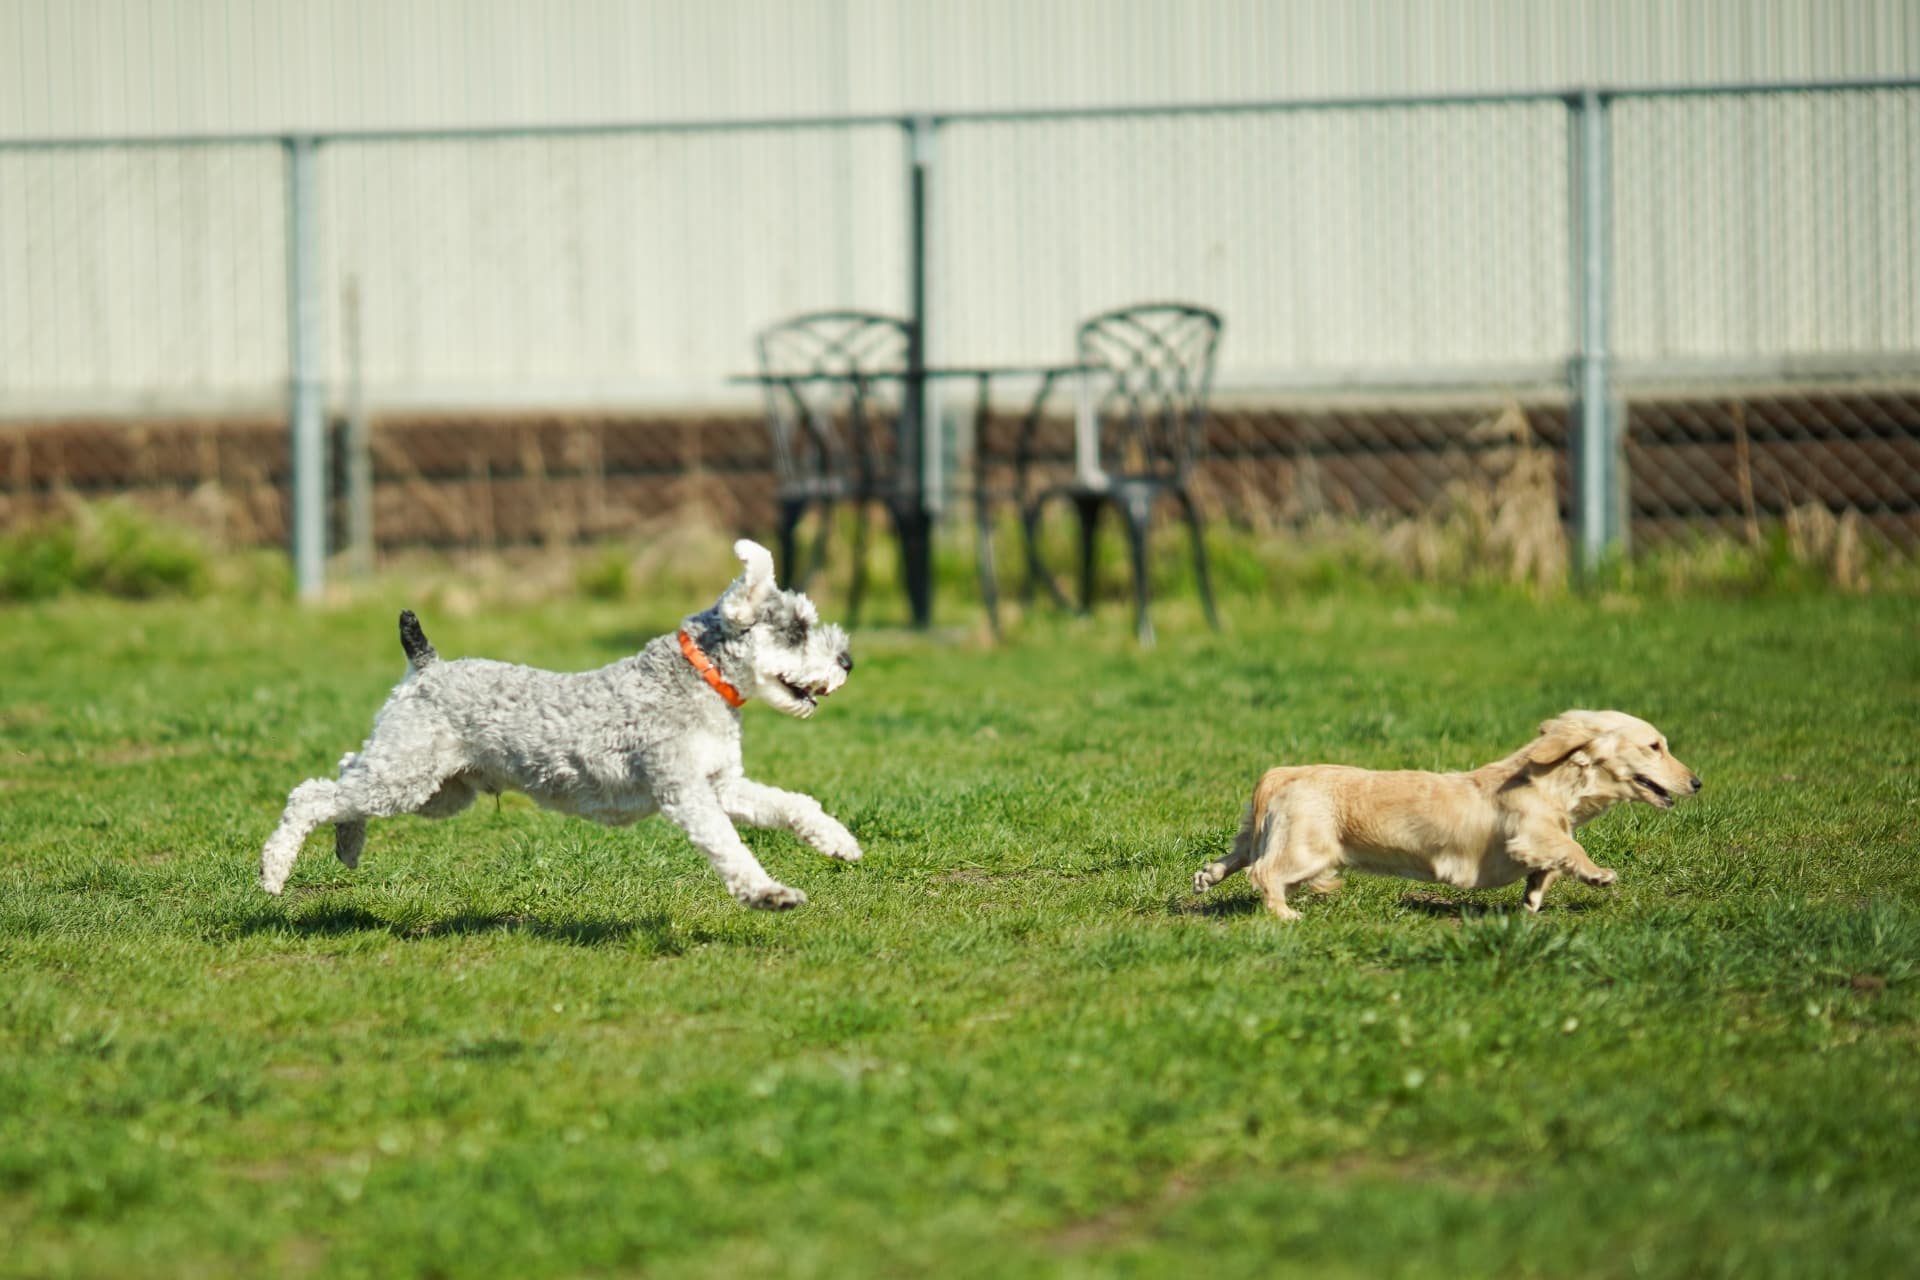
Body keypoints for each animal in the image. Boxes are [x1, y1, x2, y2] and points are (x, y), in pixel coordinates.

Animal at [259, 541, 860, 909]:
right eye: (797, 630)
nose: (848, 661)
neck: (699, 678)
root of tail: (426, 666)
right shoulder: (685, 791)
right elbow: (730, 847)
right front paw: (769, 893)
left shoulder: (722, 784)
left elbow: (790, 804)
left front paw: (838, 841)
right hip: (406, 778)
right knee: (310, 795)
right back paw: (273, 871)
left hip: (435, 790)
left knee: (345, 772)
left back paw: (348, 847)